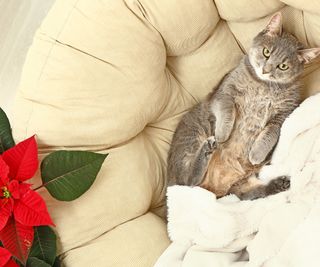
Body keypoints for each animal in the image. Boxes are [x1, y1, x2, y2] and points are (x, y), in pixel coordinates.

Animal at [168, 13, 320, 201]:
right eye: (266, 52)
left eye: (283, 66)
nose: (265, 70)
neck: (263, 85)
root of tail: (215, 191)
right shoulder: (224, 93)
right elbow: (228, 112)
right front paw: (222, 134)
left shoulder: (283, 114)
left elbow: (271, 133)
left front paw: (257, 154)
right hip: (193, 135)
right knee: (187, 182)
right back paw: (208, 147)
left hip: (242, 185)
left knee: (253, 192)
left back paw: (280, 183)